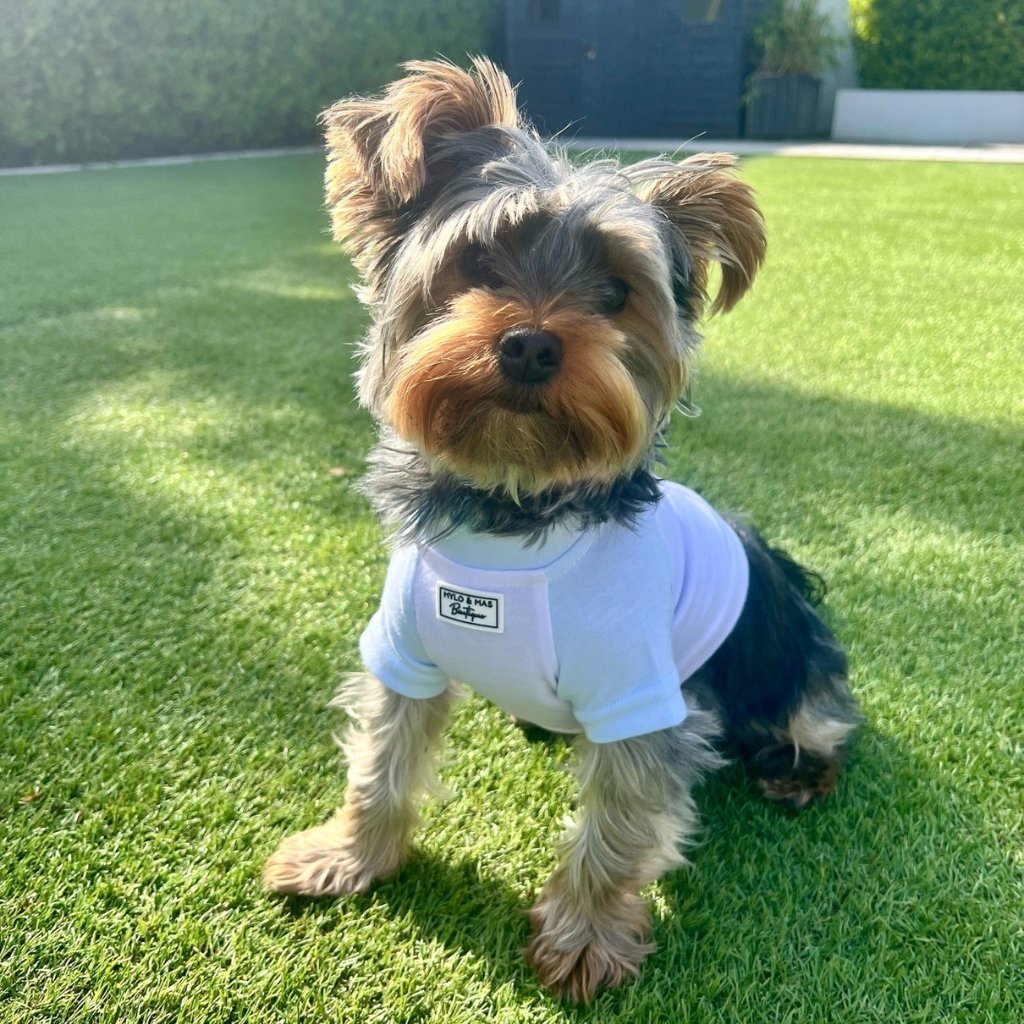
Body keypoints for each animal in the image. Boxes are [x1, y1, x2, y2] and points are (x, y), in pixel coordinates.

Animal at [263, 58, 861, 1002]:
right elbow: (381, 760)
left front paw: (583, 940)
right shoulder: (403, 654)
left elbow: (615, 831)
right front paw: (348, 857)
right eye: (476, 261)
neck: (511, 514)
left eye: (616, 292)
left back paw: (798, 775)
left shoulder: (639, 691)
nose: (532, 345)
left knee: (823, 723)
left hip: (791, 667)